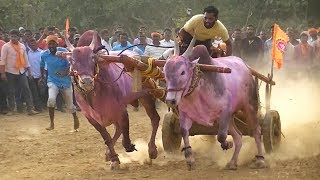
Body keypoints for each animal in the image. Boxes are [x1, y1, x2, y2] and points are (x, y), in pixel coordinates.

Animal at [64, 31, 160, 170]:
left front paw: (126, 148)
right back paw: (108, 154)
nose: (87, 82)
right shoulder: (92, 118)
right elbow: (107, 138)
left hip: (146, 96)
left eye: (92, 58)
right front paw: (114, 158)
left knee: (154, 119)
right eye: (72, 60)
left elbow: (125, 139)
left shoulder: (121, 111)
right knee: (118, 129)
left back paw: (152, 150)